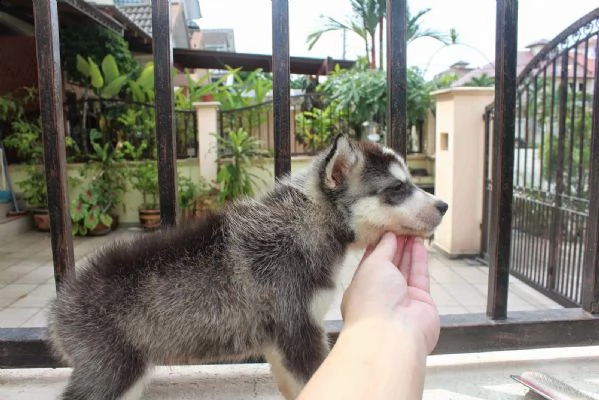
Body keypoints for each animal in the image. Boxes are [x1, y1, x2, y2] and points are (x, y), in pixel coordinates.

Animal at [47, 136, 448, 398]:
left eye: (412, 182)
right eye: (396, 189)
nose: (443, 205)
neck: (306, 223)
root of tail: (59, 305)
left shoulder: (280, 343)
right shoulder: (298, 331)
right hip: (112, 372)